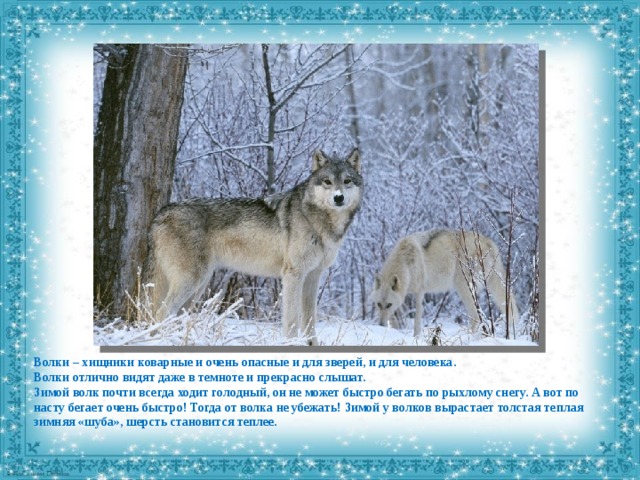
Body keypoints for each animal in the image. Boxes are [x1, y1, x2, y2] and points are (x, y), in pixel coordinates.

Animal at [145, 149, 362, 345]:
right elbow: (292, 320)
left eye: (347, 181)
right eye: (327, 182)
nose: (338, 198)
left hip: (198, 287)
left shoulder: (313, 276)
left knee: (174, 316)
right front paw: (291, 344)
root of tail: (160, 214)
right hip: (191, 281)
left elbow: (310, 321)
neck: (320, 221)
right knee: (161, 312)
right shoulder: (293, 275)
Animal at [372, 229, 519, 338]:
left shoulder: (419, 292)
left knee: (475, 316)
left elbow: (417, 319)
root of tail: (489, 241)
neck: (406, 263)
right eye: (378, 304)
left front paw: (416, 337)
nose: (380, 324)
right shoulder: (404, 297)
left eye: (388, 305)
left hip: (463, 288)